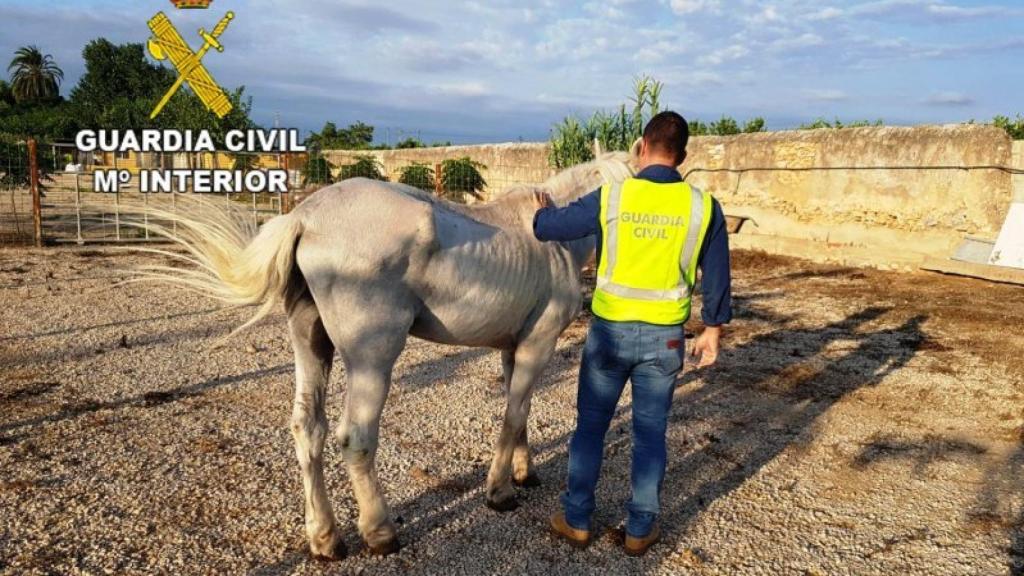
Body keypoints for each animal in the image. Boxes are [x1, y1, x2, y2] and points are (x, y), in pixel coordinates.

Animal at [131, 152, 633, 559]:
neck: (551, 241)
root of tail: (305, 217)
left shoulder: (514, 349)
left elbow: (521, 411)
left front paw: (523, 474)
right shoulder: (537, 345)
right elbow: (512, 417)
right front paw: (501, 492)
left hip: (311, 346)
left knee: (307, 430)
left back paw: (325, 538)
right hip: (372, 362)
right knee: (355, 438)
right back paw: (379, 533)